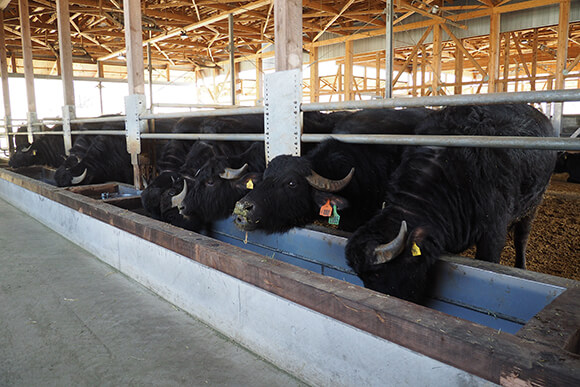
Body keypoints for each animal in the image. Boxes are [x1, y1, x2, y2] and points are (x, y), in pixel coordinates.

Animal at [344, 104, 556, 304]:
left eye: (376, 274)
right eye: (361, 276)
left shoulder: (493, 234)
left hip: (534, 203)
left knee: (522, 237)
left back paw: (521, 265)